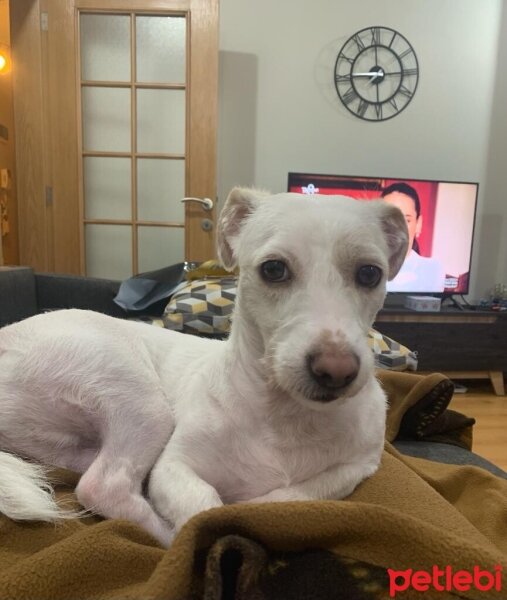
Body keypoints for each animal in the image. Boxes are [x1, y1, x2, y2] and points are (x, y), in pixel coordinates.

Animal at [0, 190, 406, 548]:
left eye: (370, 274)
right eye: (274, 269)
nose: (336, 371)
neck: (286, 416)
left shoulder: (357, 467)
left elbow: (292, 497)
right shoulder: (173, 468)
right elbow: (206, 510)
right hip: (136, 395)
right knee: (105, 486)